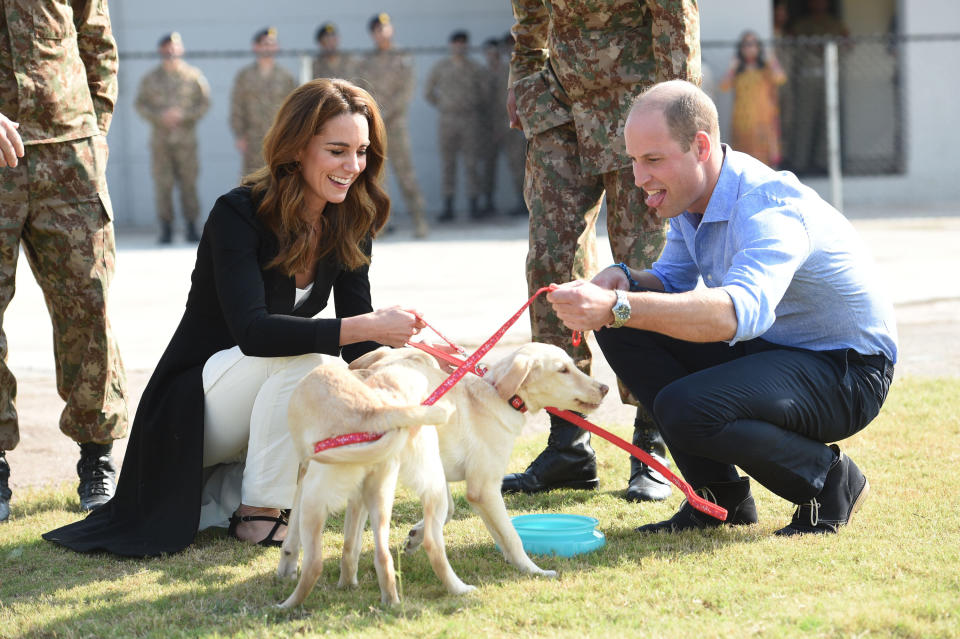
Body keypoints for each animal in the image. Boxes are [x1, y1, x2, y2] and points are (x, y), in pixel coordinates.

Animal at [276, 362, 470, 608]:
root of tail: (375, 413)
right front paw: (348, 583)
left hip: (314, 499)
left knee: (315, 564)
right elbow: (351, 544)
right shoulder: (359, 497)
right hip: (414, 490)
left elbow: (292, 537)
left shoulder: (303, 478)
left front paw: (286, 570)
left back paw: (285, 605)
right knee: (406, 550)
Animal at [348, 344, 608, 580]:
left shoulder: (459, 484)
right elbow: (511, 535)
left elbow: (480, 524)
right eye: (562, 370)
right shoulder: (485, 489)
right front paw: (534, 571)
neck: (504, 397)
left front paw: (415, 536)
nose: (605, 388)